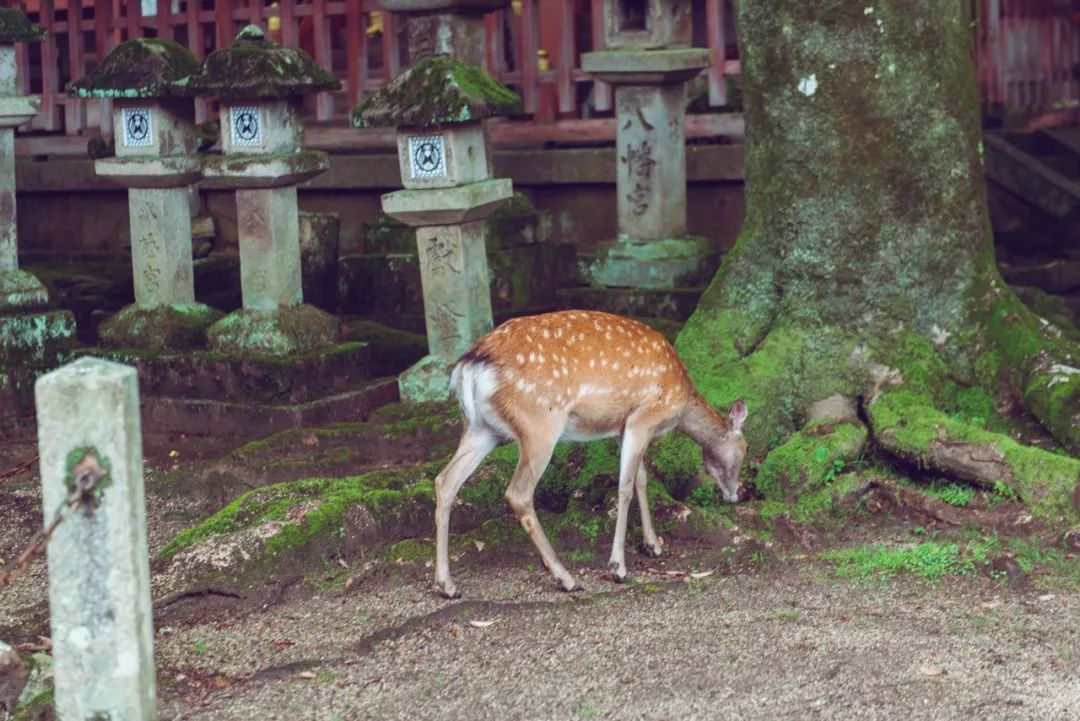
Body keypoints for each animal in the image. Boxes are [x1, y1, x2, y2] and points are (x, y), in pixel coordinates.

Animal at [434, 310, 747, 595]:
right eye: (743, 451)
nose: (735, 494)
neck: (680, 402)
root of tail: (470, 365)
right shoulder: (643, 417)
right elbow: (625, 487)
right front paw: (618, 567)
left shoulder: (623, 427)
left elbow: (642, 479)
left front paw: (653, 546)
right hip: (539, 424)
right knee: (518, 493)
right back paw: (566, 578)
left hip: (482, 428)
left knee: (445, 481)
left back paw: (446, 584)